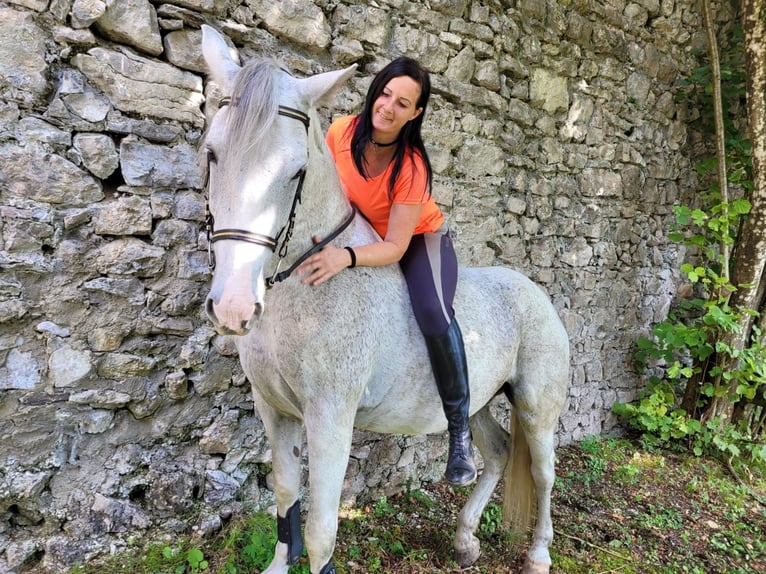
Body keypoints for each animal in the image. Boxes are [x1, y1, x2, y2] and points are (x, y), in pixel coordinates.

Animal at [198, 25, 568, 574]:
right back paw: (465, 539)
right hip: (481, 398)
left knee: (543, 471)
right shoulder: (274, 411)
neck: (303, 296)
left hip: (537, 403)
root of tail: (534, 292)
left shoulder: (331, 416)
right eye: (212, 154)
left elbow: (321, 532)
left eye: (296, 172)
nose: (234, 308)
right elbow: (285, 498)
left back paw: (539, 553)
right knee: (499, 452)